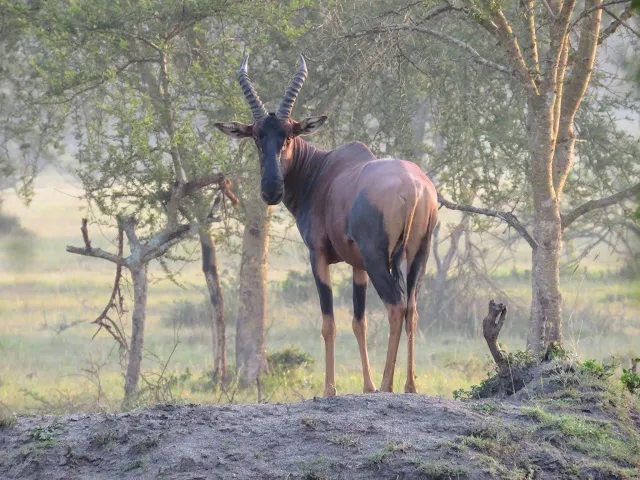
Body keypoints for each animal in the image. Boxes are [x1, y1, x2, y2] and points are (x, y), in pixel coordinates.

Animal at [218, 54, 438, 396]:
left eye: (290, 135)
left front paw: (329, 389)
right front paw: (367, 387)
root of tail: (414, 187)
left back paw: (388, 384)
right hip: (419, 256)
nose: (271, 190)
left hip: (379, 258)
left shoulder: (319, 255)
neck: (322, 171)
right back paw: (410, 385)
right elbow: (358, 322)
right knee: (412, 308)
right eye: (256, 137)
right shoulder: (358, 266)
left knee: (396, 306)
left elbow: (329, 323)